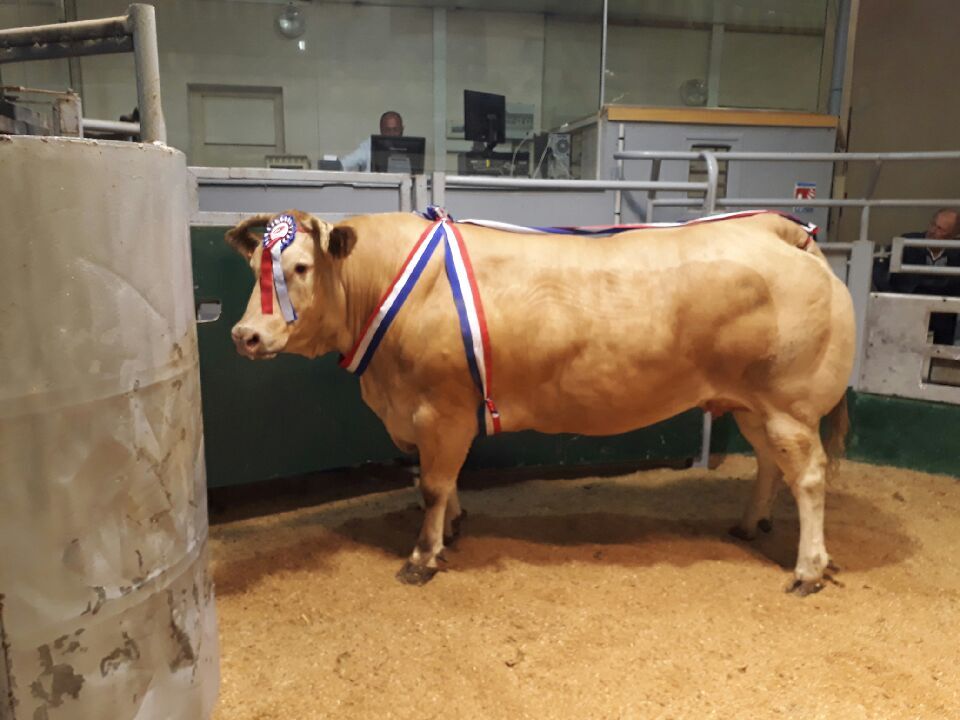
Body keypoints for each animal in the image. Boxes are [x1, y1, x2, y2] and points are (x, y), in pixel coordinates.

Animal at [225, 209, 855, 596]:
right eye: (253, 267)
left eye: (300, 267)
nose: (245, 335)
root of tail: (778, 229)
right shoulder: (439, 415)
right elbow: (444, 481)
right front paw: (453, 528)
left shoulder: (439, 408)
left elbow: (432, 484)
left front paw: (422, 556)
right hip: (754, 405)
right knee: (771, 464)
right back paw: (750, 525)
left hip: (789, 404)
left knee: (809, 478)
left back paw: (808, 569)